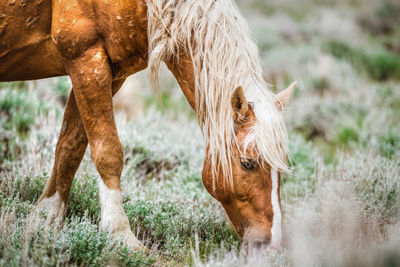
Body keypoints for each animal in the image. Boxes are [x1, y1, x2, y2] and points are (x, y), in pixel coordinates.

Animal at [0, 0, 296, 253]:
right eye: (247, 163)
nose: (271, 245)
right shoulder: (85, 58)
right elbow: (108, 152)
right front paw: (119, 235)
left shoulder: (111, 71)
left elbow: (71, 143)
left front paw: (46, 216)